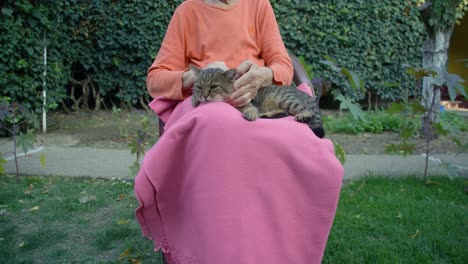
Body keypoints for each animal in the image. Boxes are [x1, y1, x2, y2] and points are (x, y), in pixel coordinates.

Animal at [190, 65, 326, 138]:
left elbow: (249, 108)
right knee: (284, 112)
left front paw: (250, 113)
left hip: (286, 99)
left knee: (307, 109)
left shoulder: (247, 103)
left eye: (213, 87)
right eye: (199, 87)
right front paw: (195, 98)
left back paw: (303, 116)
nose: (204, 96)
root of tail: (305, 94)